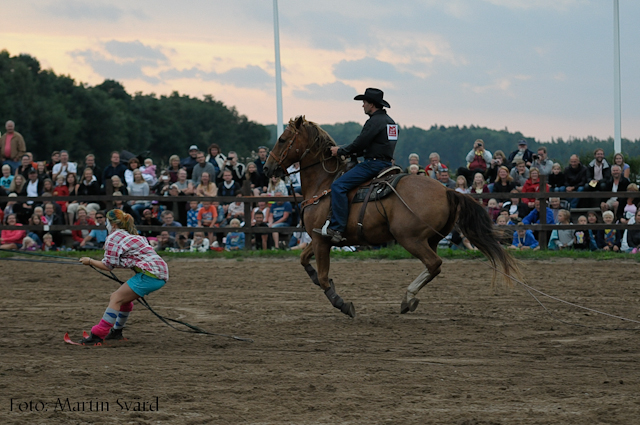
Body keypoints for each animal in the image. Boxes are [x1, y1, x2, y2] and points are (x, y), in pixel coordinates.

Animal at [264, 116, 520, 318]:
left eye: (282, 139)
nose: (267, 168)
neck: (324, 183)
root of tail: (447, 190)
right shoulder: (320, 238)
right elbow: (304, 261)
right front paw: (317, 279)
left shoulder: (321, 240)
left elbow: (325, 278)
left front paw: (343, 304)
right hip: (431, 239)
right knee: (433, 267)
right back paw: (409, 298)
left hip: (410, 239)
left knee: (434, 264)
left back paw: (408, 298)